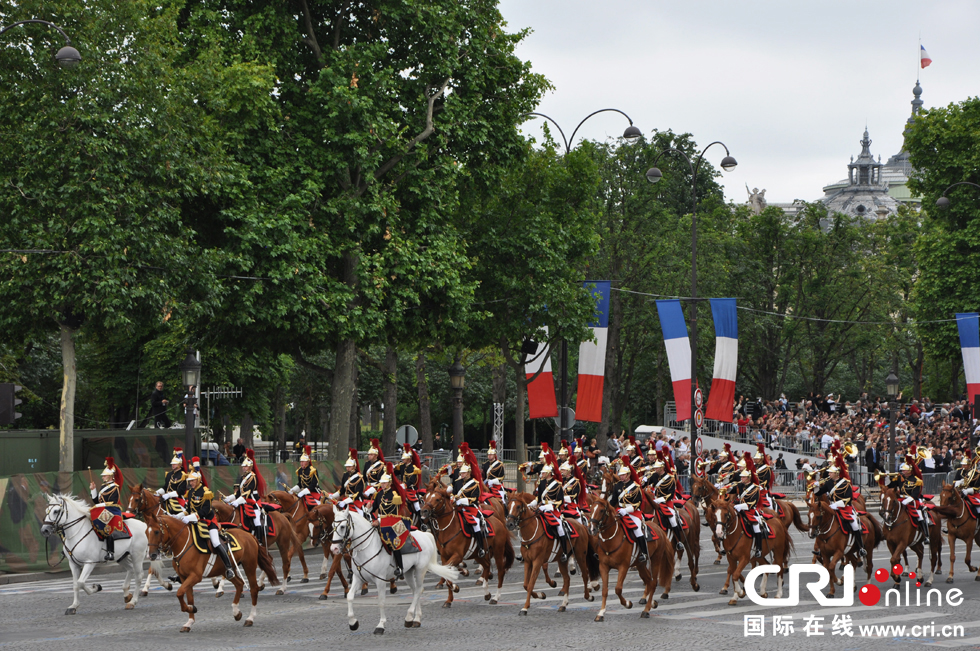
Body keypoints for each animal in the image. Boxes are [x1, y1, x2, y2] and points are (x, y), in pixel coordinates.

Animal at [144, 510, 278, 632]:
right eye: (146, 532)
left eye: (156, 531)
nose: (152, 555)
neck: (184, 544)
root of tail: (249, 535)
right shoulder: (184, 577)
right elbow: (188, 597)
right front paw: (189, 620)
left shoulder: (195, 576)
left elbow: (179, 593)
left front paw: (191, 609)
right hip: (227, 569)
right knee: (239, 584)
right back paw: (236, 612)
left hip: (249, 565)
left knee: (254, 589)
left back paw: (250, 618)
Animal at [326, 502, 456, 636]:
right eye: (333, 526)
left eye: (342, 526)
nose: (334, 548)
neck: (366, 548)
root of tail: (425, 534)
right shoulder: (358, 578)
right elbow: (350, 597)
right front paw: (353, 623)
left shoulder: (380, 580)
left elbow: (381, 602)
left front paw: (380, 625)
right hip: (408, 572)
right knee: (416, 591)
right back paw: (416, 619)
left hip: (420, 570)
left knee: (419, 590)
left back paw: (409, 617)